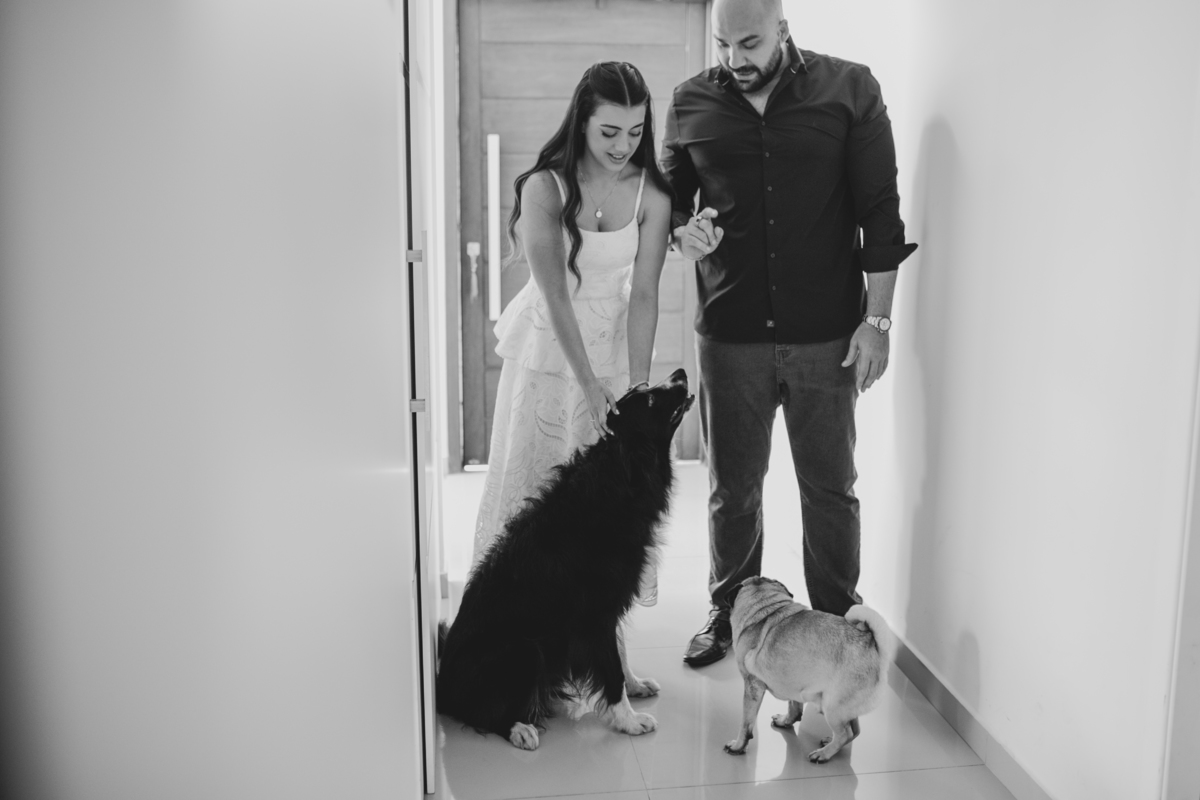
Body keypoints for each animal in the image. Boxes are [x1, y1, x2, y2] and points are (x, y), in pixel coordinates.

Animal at [436, 369, 695, 750]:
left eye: (645, 386)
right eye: (650, 399)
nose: (681, 373)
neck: (620, 472)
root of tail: (441, 683)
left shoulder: (609, 605)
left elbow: (620, 654)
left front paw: (636, 685)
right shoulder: (595, 614)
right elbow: (611, 668)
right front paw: (629, 721)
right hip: (525, 649)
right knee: (480, 712)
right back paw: (520, 728)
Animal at [722, 576, 897, 763]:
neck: (765, 609)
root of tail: (872, 644)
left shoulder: (752, 686)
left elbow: (745, 724)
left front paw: (737, 746)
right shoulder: (792, 680)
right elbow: (794, 706)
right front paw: (785, 721)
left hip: (832, 707)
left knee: (845, 733)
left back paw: (824, 754)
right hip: (844, 707)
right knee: (854, 730)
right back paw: (830, 743)